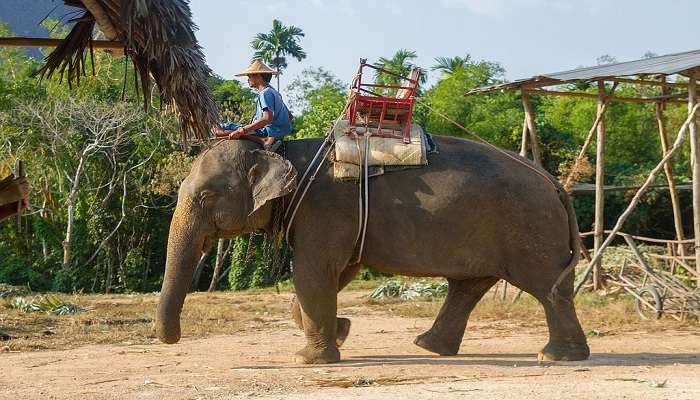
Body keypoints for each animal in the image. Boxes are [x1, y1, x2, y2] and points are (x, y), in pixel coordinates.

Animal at [156, 136, 588, 364]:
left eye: (206, 196)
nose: (171, 340)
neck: (279, 148)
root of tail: (554, 182)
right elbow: (335, 273)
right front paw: (342, 331)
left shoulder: (324, 208)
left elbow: (312, 273)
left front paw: (310, 359)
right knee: (469, 286)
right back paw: (429, 348)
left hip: (530, 228)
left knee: (547, 288)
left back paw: (558, 357)